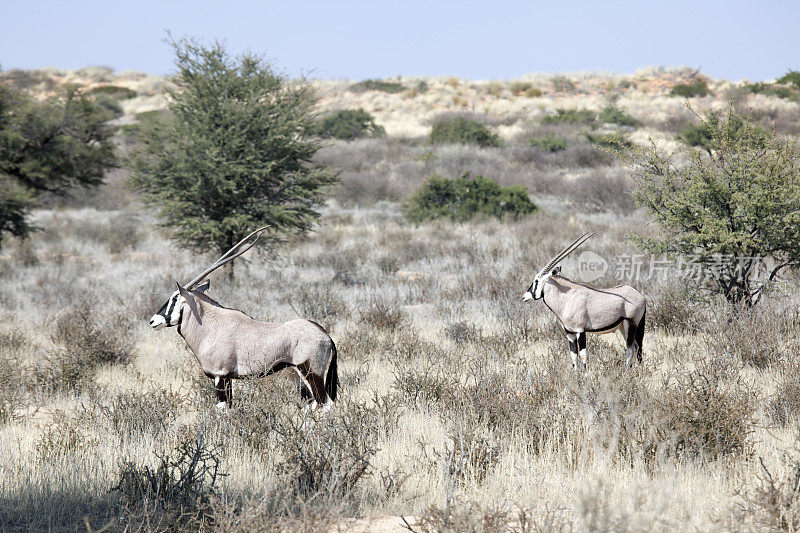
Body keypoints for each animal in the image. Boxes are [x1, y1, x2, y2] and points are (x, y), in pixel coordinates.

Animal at [149, 227, 338, 410]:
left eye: (175, 298)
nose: (153, 321)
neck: (211, 326)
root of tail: (326, 336)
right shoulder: (228, 378)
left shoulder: (220, 375)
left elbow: (222, 409)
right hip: (295, 376)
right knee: (310, 403)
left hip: (311, 373)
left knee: (325, 404)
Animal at [520, 233, 648, 370]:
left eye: (536, 281)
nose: (524, 297)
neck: (566, 297)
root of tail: (641, 296)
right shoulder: (570, 332)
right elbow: (573, 355)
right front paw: (576, 375)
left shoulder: (580, 330)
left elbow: (583, 355)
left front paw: (586, 375)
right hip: (623, 327)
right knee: (635, 347)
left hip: (632, 324)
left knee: (631, 349)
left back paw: (628, 372)